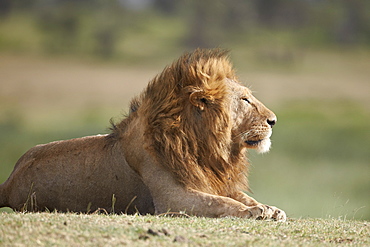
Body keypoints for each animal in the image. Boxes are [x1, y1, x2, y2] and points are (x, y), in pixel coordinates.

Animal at [0, 48, 286, 220]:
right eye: (245, 100)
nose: (273, 120)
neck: (206, 148)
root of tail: (9, 181)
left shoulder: (213, 181)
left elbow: (238, 196)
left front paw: (271, 208)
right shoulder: (173, 200)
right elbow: (221, 203)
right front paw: (254, 211)